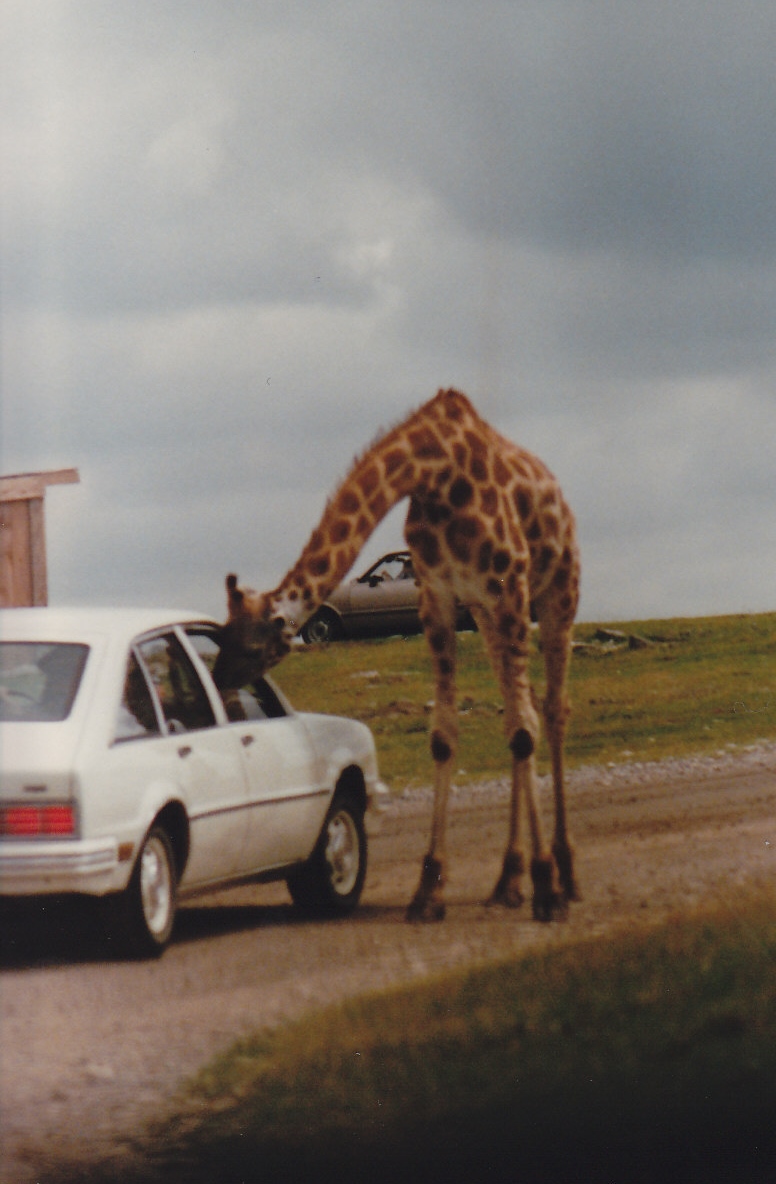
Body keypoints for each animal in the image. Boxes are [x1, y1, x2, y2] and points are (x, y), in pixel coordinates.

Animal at [216, 388, 581, 922]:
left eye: (251, 644)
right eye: (221, 637)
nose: (219, 680)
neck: (436, 471)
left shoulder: (508, 585)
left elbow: (523, 730)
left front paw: (547, 889)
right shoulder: (440, 597)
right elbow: (446, 736)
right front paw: (428, 892)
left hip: (558, 592)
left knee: (550, 712)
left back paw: (565, 875)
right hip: (487, 614)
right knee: (524, 706)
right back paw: (507, 883)